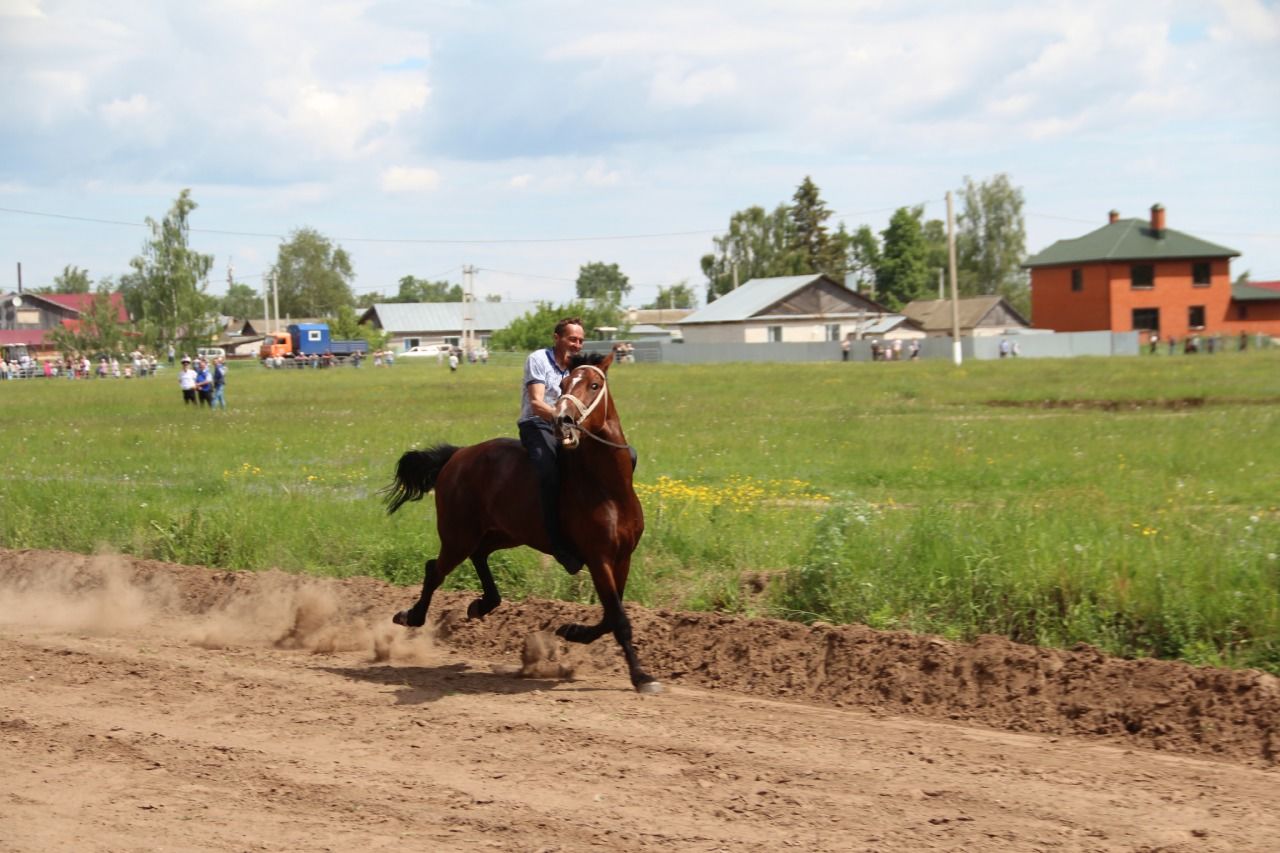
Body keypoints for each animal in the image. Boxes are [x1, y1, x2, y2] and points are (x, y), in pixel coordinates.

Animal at [381, 350, 660, 691]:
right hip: (458, 535)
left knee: (478, 556)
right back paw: (412, 616)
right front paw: (641, 676)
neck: (608, 489)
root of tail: (458, 455)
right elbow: (618, 618)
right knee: (435, 569)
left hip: (502, 533)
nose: (563, 421)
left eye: (594, 385)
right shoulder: (599, 558)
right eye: (564, 384)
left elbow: (611, 614)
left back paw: (483, 603)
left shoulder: (622, 557)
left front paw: (574, 631)